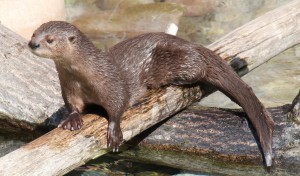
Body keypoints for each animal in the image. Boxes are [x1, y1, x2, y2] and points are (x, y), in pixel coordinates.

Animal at [28, 21, 274, 166]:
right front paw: (72, 119)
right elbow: (72, 105)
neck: (86, 75)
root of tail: (192, 45)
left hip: (177, 59)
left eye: (49, 39)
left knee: (197, 69)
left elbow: (118, 104)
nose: (33, 44)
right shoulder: (69, 87)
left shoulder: (111, 84)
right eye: (34, 33)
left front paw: (114, 131)